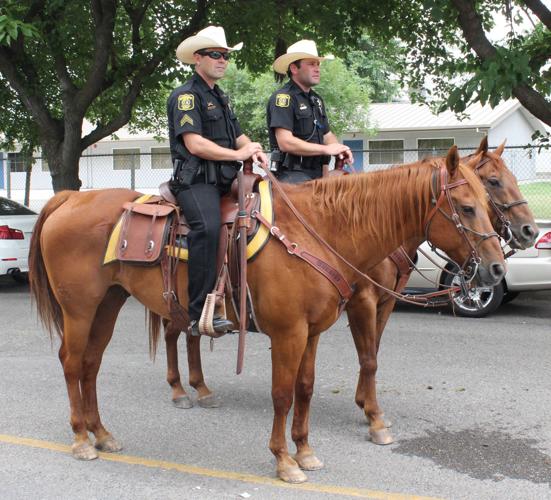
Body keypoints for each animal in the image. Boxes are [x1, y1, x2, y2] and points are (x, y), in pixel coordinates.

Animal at [28, 146, 506, 482]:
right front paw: (283, 460)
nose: (497, 268)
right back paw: (81, 438)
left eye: (488, 199)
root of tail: (67, 200)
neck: (317, 231)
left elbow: (305, 389)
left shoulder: (313, 332)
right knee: (72, 363)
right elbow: (283, 393)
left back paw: (103, 434)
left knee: (91, 364)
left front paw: (305, 451)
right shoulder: (290, 332)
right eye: (468, 207)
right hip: (79, 308)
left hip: (108, 303)